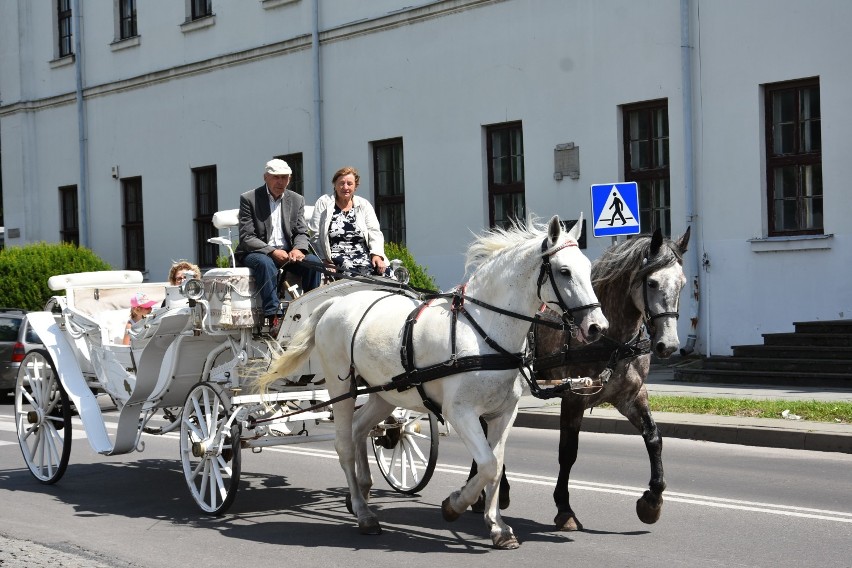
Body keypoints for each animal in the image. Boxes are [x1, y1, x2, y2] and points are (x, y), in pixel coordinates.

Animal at [256, 215, 608, 548]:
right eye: (564, 271)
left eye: (586, 267)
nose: (597, 327)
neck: (484, 330)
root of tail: (334, 303)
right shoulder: (460, 413)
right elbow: (487, 464)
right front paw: (455, 505)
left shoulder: (504, 413)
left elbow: (494, 465)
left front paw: (497, 527)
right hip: (341, 386)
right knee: (343, 444)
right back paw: (363, 512)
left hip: (384, 393)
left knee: (359, 430)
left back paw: (363, 494)